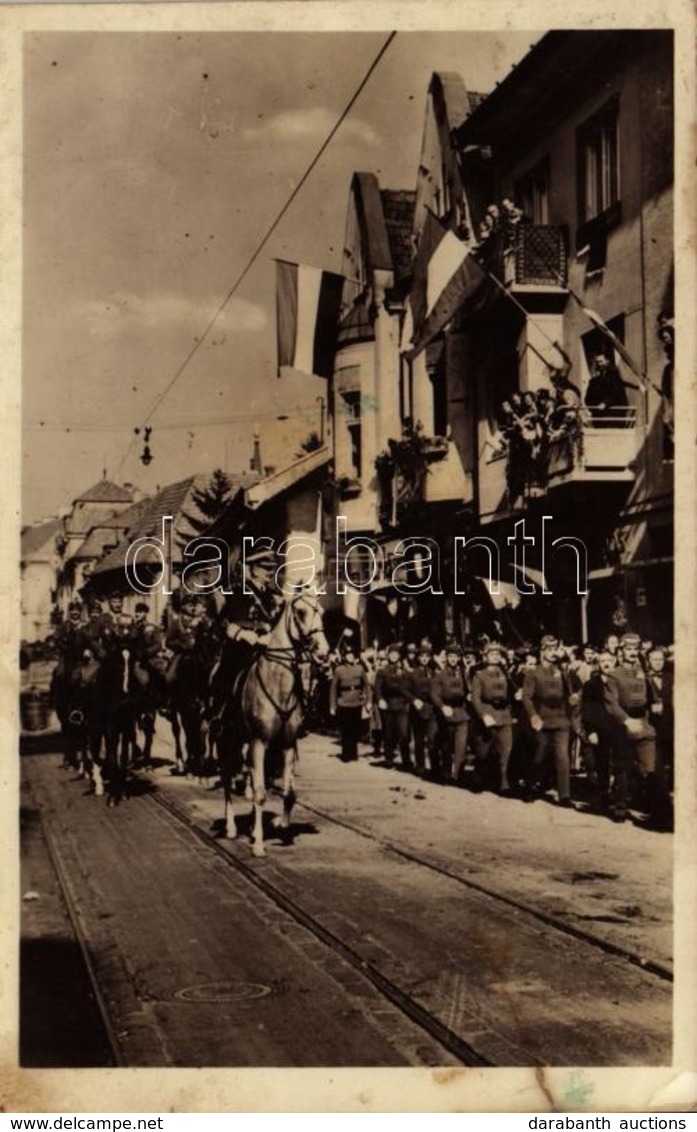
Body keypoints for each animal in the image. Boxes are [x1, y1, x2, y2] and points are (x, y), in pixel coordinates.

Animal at [219, 593, 328, 855]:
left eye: (321, 611)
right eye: (300, 612)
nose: (323, 652)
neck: (278, 685)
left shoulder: (287, 744)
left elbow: (288, 793)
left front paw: (281, 824)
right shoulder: (259, 742)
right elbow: (259, 794)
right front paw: (259, 844)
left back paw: (249, 827)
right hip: (228, 740)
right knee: (227, 778)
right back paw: (231, 827)